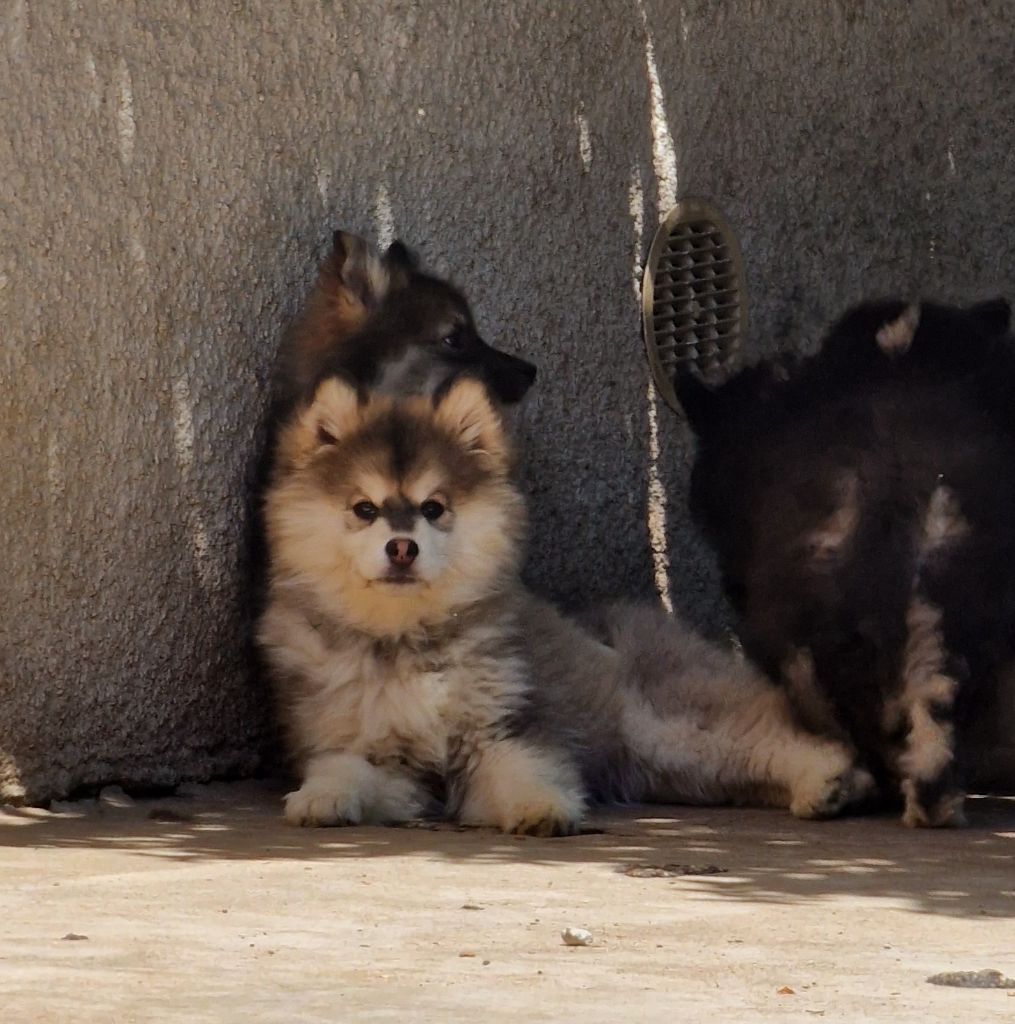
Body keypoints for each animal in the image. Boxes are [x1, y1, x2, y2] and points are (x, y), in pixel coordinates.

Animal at [258, 376, 868, 831]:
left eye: (433, 508)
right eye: (364, 509)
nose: (402, 547)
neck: (405, 641)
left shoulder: (503, 730)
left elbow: (522, 768)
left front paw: (540, 807)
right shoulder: (377, 755)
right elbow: (346, 768)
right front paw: (322, 798)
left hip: (673, 724)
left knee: (777, 738)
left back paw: (831, 779)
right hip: (674, 766)